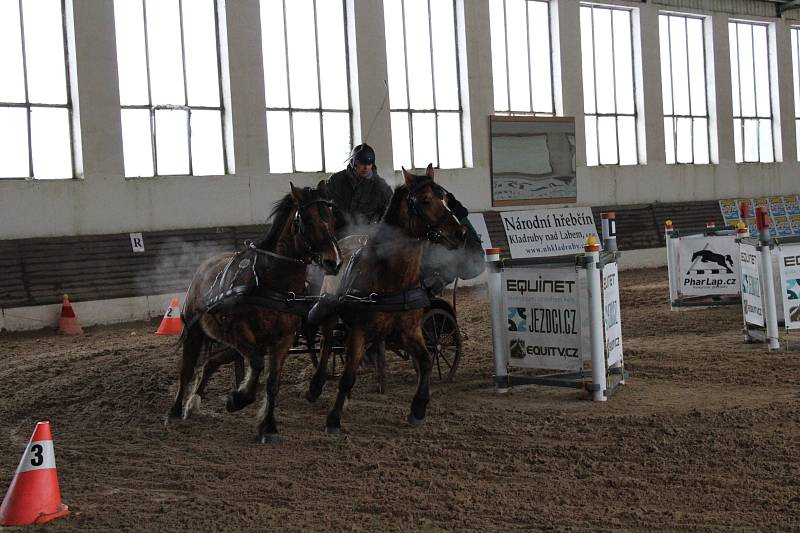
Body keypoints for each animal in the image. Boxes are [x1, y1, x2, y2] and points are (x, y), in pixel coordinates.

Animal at [167, 181, 342, 442]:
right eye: (308, 220)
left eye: (330, 217)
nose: (334, 262)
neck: (273, 282)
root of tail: (205, 265)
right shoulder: (238, 331)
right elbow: (258, 364)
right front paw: (238, 399)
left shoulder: (283, 339)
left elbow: (272, 381)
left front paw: (267, 425)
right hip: (196, 332)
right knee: (187, 370)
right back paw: (176, 410)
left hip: (231, 345)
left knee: (211, 362)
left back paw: (194, 401)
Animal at [310, 166, 466, 432]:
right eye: (425, 200)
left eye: (445, 197)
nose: (460, 232)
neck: (393, 277)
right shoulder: (359, 330)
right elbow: (348, 375)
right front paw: (334, 418)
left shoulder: (411, 331)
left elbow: (426, 361)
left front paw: (418, 408)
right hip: (330, 314)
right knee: (327, 345)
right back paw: (317, 386)